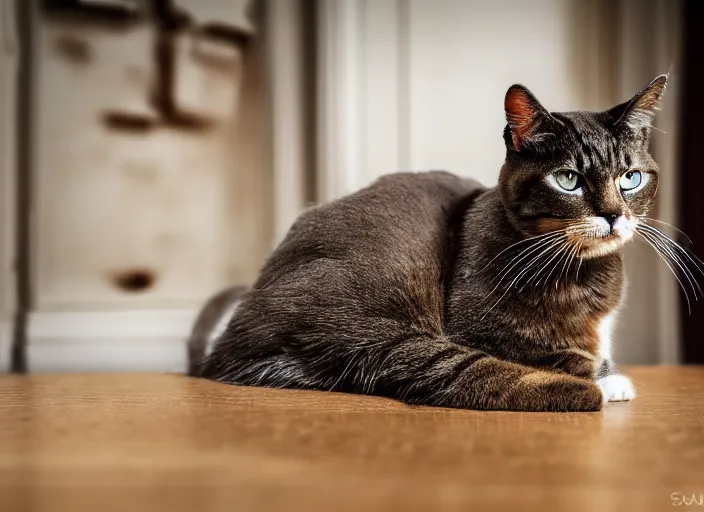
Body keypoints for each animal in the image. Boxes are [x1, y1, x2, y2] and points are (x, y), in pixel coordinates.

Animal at [190, 75, 692, 412]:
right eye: (567, 179)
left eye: (631, 177)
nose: (613, 214)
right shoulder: (478, 326)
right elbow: (552, 352)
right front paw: (607, 380)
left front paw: (610, 372)